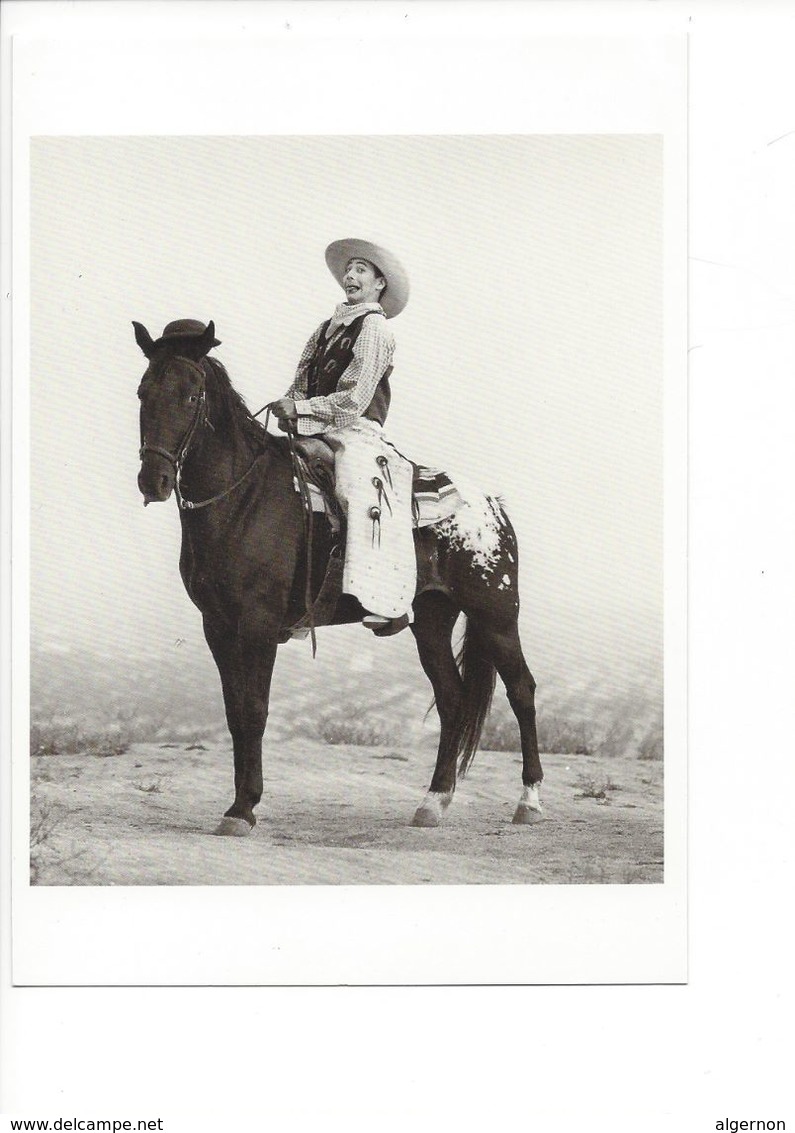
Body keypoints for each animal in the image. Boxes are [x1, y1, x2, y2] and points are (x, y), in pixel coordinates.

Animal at [133, 319, 545, 833]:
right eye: (143, 392)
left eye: (191, 395)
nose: (153, 481)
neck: (243, 498)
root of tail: (490, 506)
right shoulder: (218, 626)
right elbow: (233, 712)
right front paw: (238, 803)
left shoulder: (258, 624)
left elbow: (254, 710)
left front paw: (244, 808)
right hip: (433, 620)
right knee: (452, 700)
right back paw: (433, 801)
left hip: (496, 616)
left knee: (522, 691)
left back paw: (529, 801)